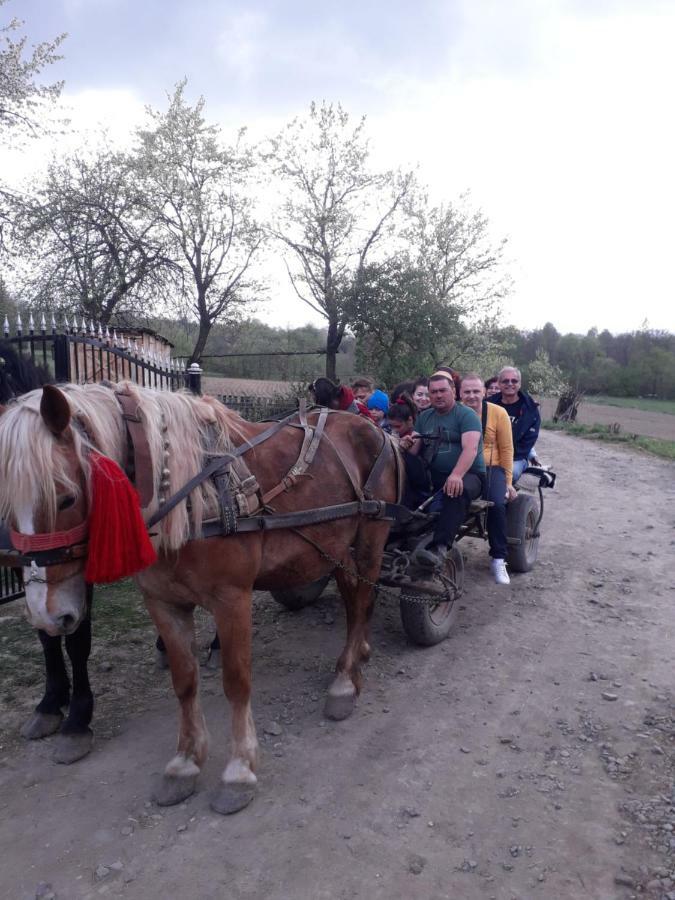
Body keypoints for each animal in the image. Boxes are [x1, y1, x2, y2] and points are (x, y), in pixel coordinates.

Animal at [0, 382, 402, 816]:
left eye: (67, 499)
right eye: (6, 508)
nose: (46, 616)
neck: (195, 497)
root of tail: (377, 431)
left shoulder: (232, 600)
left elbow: (236, 682)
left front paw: (239, 770)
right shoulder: (162, 603)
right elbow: (185, 681)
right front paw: (185, 763)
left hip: (371, 538)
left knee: (361, 602)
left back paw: (345, 682)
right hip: (337, 546)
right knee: (353, 598)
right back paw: (356, 657)